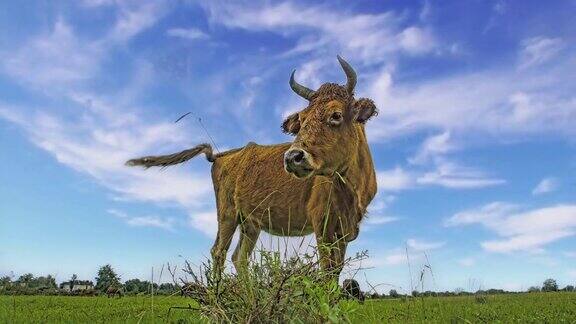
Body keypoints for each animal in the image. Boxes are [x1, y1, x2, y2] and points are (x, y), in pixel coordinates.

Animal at [126, 56, 378, 280]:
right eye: (302, 120)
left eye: (336, 114)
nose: (293, 157)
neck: (351, 189)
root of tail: (223, 155)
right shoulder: (322, 226)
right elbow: (327, 270)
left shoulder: (343, 232)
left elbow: (336, 271)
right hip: (227, 215)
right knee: (219, 252)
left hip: (250, 224)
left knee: (239, 257)